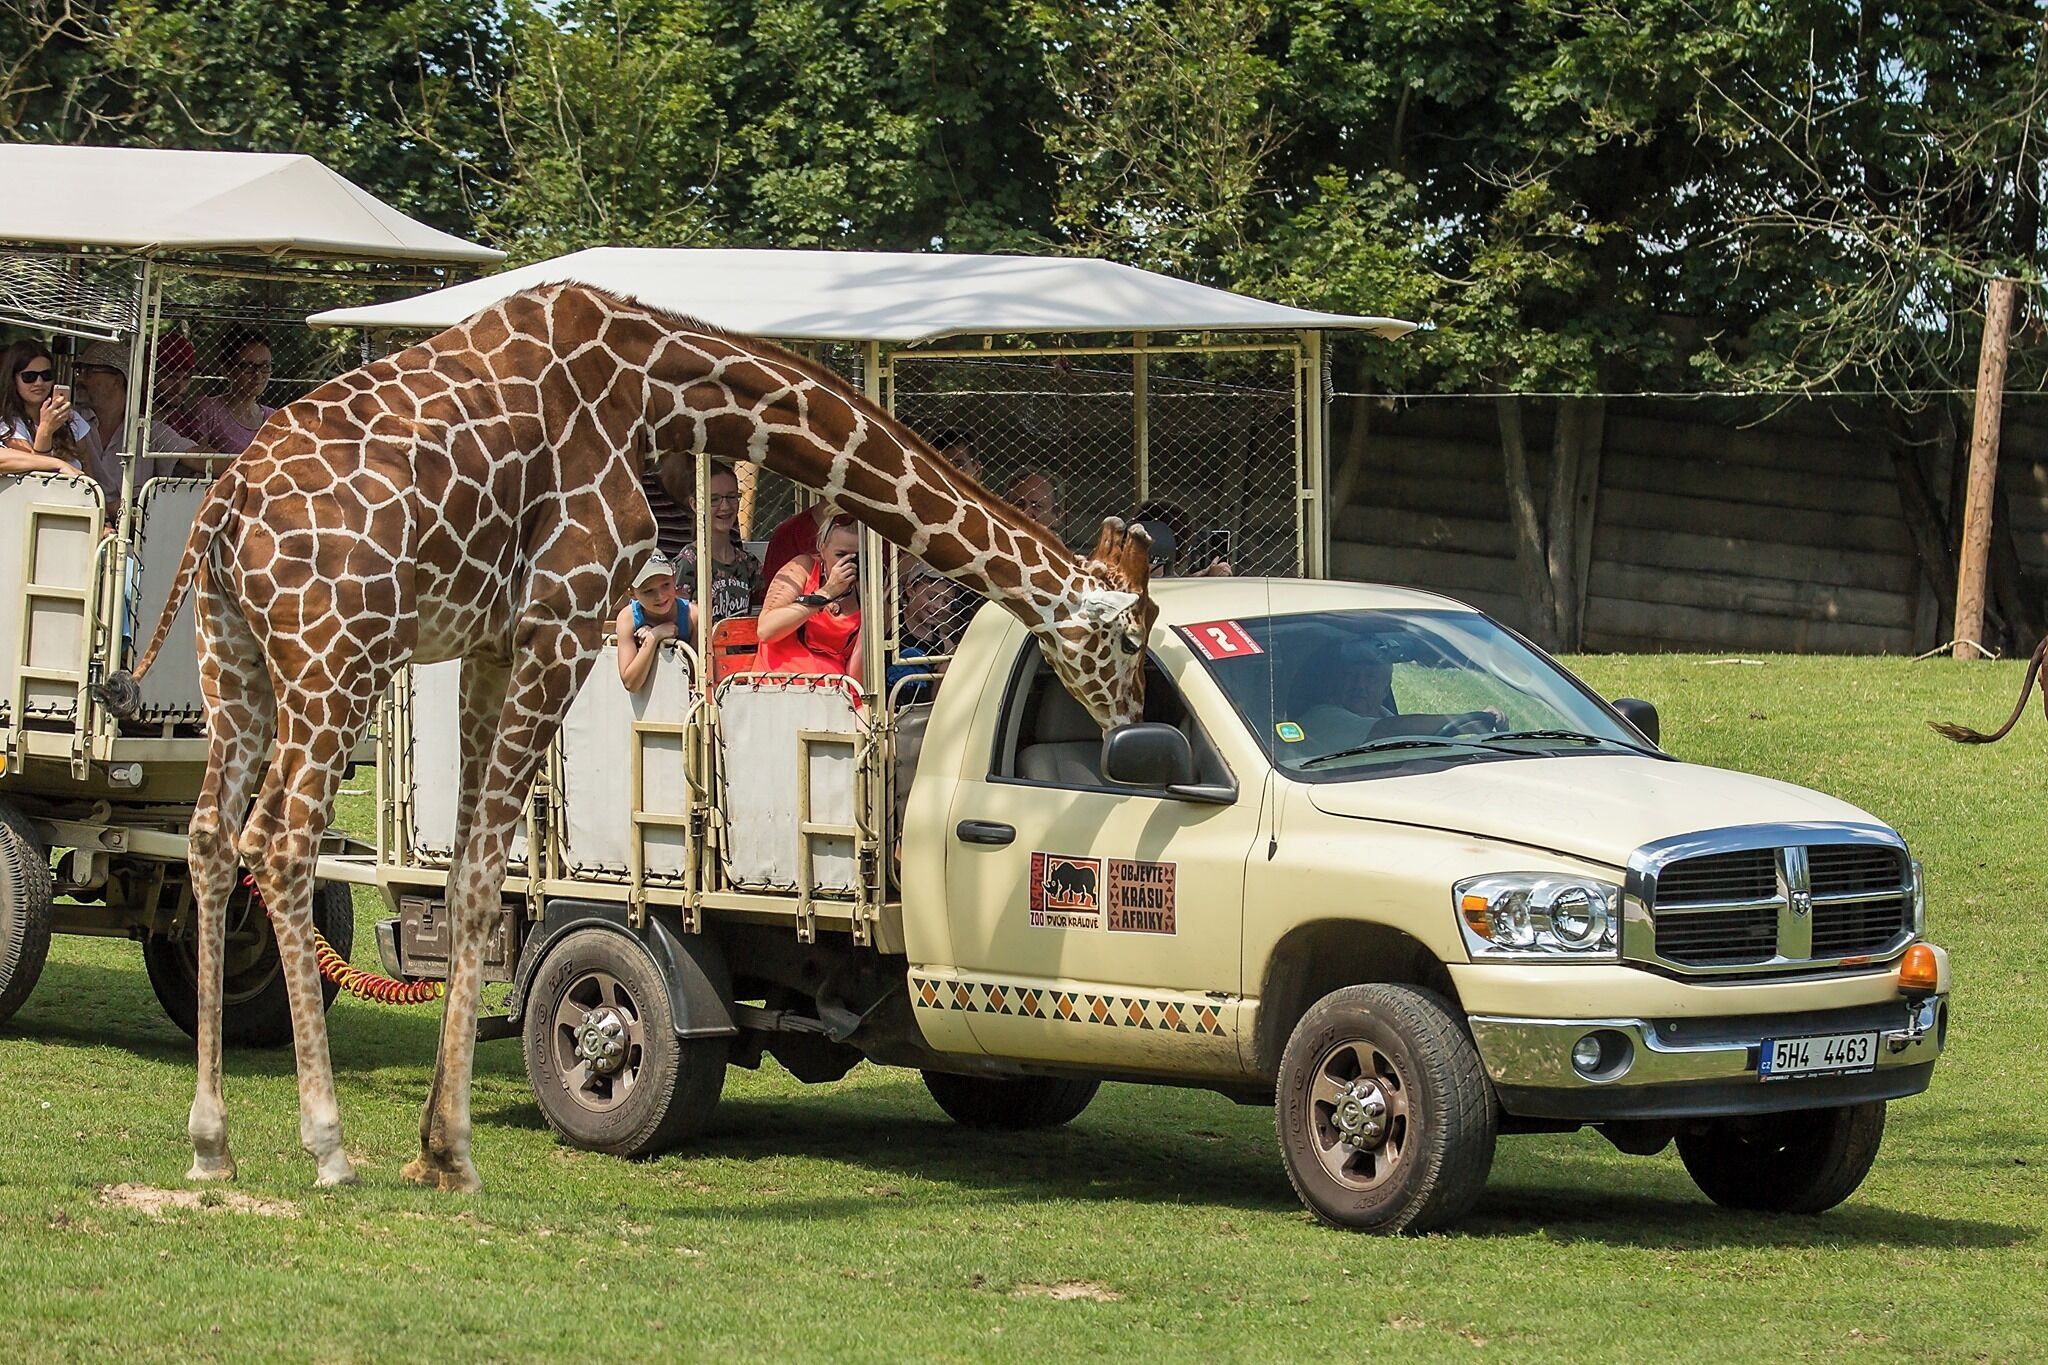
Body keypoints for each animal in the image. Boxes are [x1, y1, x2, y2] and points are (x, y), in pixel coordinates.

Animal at [101, 282, 1154, 1192]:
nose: (1134, 722)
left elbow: (469, 868)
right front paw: (450, 1151)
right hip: (336, 656)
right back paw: (325, 1144)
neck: (657, 388)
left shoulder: (489, 640)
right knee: (279, 843)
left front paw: (432, 1147)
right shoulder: (561, 622)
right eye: (1133, 633)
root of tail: (223, 506)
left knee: (207, 838)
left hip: (234, 659)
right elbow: (482, 877)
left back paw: (211, 1142)